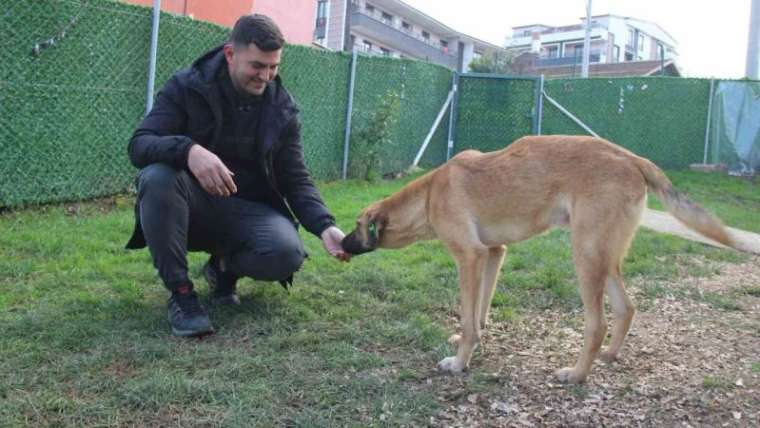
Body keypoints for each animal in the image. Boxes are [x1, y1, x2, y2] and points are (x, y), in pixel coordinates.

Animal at [342, 135, 736, 382]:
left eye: (357, 225)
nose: (341, 243)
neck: (427, 195)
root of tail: (633, 158)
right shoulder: (493, 254)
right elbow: (479, 313)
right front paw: (473, 341)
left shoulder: (469, 257)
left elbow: (469, 319)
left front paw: (459, 363)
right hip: (605, 256)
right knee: (627, 307)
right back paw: (609, 356)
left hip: (585, 255)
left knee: (598, 324)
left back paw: (576, 375)